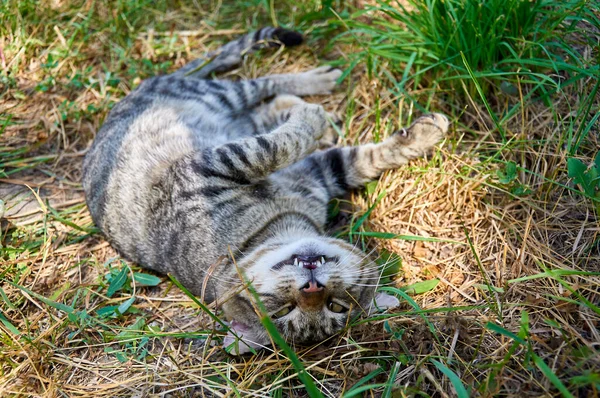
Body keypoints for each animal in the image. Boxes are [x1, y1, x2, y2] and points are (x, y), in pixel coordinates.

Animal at [83, 28, 450, 354]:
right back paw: (315, 89)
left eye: (336, 306)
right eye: (284, 311)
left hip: (221, 102)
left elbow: (364, 158)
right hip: (216, 96)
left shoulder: (317, 173)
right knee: (264, 88)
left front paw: (423, 135)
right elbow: (281, 144)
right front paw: (311, 118)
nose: (312, 287)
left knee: (262, 99)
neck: (276, 220)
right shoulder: (218, 162)